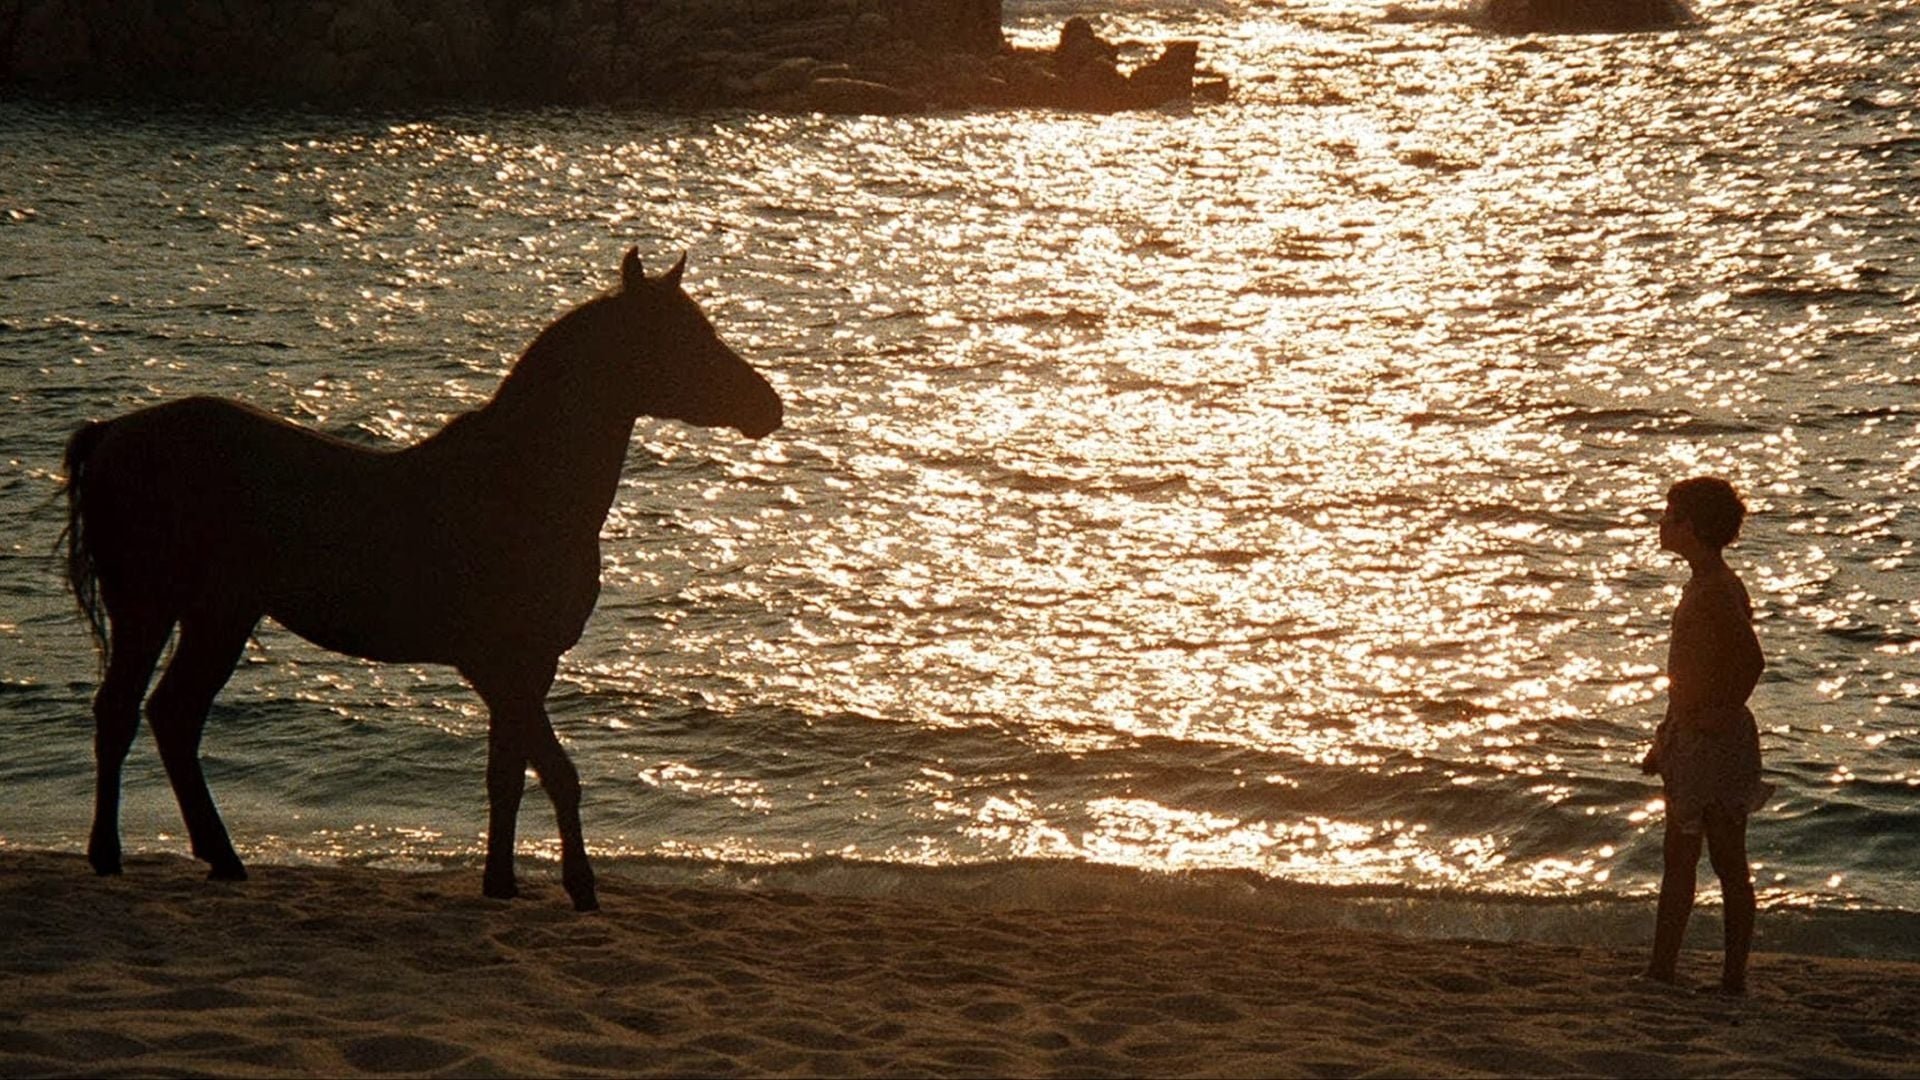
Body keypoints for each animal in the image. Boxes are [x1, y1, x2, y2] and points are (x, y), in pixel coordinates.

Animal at [61, 248, 782, 912]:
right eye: (680, 336)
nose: (768, 407)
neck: (520, 485)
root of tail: (112, 433)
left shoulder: (526, 668)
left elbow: (515, 773)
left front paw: (508, 883)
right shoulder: (501, 663)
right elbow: (548, 772)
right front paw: (569, 887)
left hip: (218, 617)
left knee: (171, 716)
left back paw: (221, 857)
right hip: (151, 609)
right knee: (123, 712)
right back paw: (112, 855)